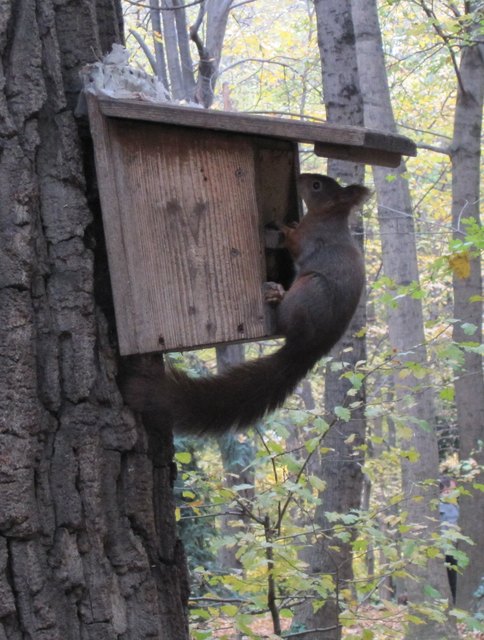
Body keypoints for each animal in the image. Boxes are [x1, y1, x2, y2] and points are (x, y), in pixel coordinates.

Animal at [120, 173, 370, 435]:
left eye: (316, 186)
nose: (299, 177)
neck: (328, 217)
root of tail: (306, 349)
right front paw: (288, 222)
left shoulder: (309, 237)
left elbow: (293, 241)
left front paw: (281, 225)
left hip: (308, 292)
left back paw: (276, 295)